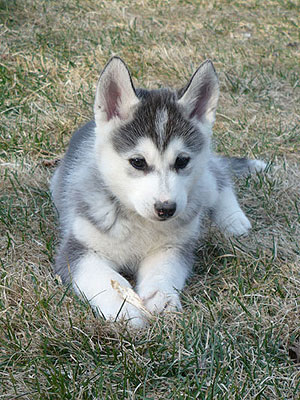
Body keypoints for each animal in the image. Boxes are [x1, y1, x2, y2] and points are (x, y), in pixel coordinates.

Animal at [51, 56, 264, 326]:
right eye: (137, 162)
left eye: (182, 161)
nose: (166, 209)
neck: (139, 221)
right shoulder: (78, 250)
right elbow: (106, 279)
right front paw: (125, 310)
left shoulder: (172, 246)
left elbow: (163, 271)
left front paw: (161, 298)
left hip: (202, 183)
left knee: (218, 176)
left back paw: (233, 219)